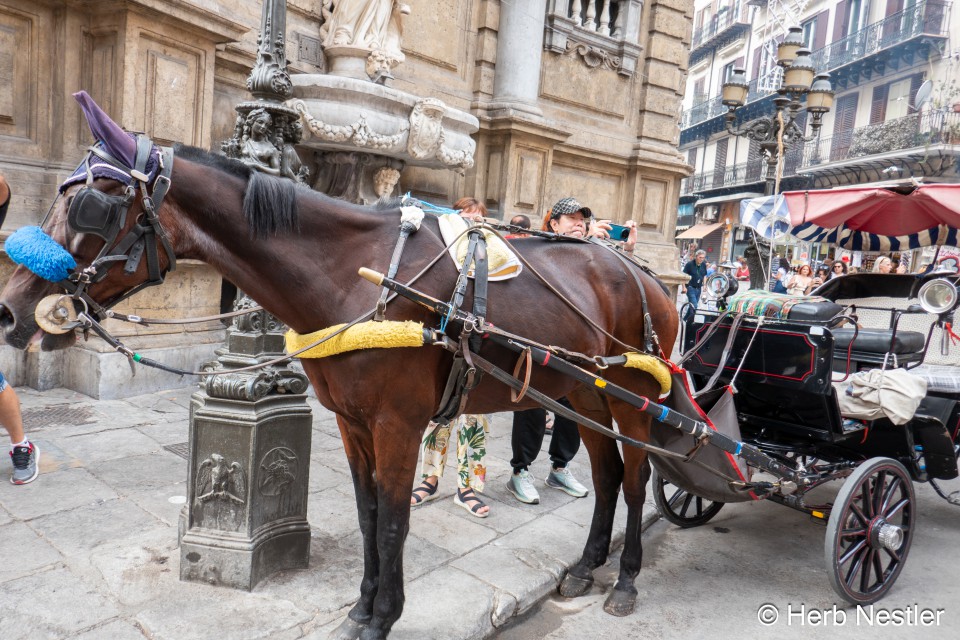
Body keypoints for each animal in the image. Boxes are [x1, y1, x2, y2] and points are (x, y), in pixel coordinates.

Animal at [0, 124, 676, 636]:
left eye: (94, 205)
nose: (9, 309)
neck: (355, 276)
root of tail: (642, 272)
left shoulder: (398, 423)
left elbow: (395, 518)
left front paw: (384, 616)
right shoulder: (353, 423)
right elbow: (368, 513)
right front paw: (361, 607)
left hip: (639, 401)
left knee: (637, 479)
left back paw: (627, 578)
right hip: (582, 394)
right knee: (608, 475)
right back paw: (588, 566)